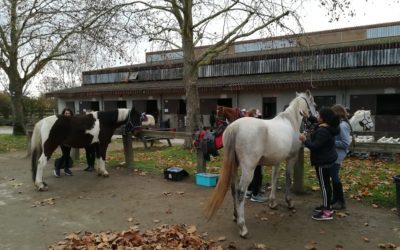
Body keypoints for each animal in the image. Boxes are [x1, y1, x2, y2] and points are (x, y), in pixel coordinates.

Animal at [205, 90, 318, 236]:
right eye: (314, 104)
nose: (316, 118)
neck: (291, 121)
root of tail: (235, 127)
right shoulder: (291, 158)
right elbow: (288, 178)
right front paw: (289, 202)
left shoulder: (277, 160)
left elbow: (275, 178)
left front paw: (272, 203)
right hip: (248, 169)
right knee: (240, 192)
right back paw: (242, 227)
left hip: (234, 166)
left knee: (233, 189)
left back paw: (236, 216)